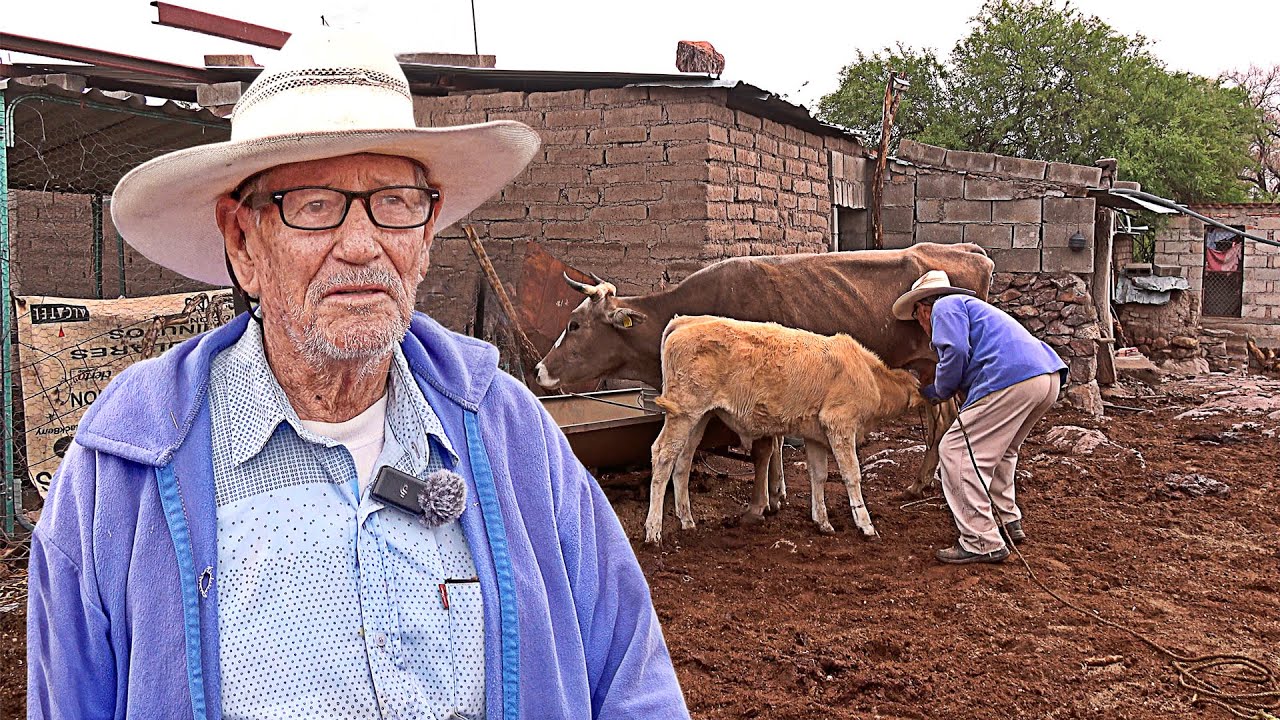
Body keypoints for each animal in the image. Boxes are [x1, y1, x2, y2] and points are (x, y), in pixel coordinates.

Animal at [535, 243, 995, 499]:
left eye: (574, 324)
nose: (539, 370)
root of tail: (969, 251)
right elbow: (772, 443)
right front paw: (780, 492)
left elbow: (765, 446)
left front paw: (770, 499)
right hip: (930, 368)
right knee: (940, 420)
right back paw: (924, 482)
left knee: (951, 421)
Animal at [645, 316, 926, 545]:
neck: (868, 375)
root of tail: (686, 321)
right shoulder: (840, 424)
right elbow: (851, 475)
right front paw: (866, 525)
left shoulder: (815, 436)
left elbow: (819, 475)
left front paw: (823, 522)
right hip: (683, 413)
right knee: (663, 456)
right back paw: (653, 531)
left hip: (698, 418)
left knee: (683, 461)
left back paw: (687, 521)